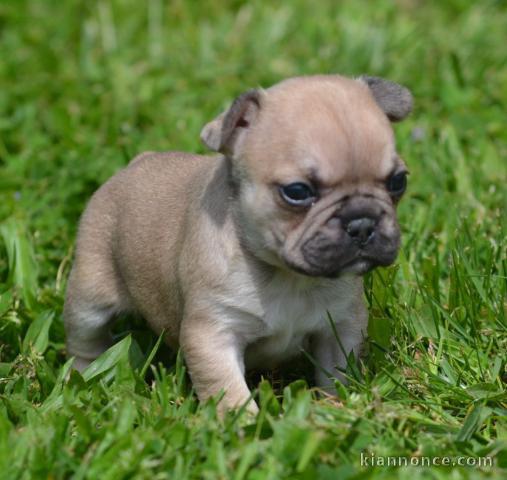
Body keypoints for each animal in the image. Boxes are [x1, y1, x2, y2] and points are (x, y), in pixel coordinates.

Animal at [63, 73, 412, 414]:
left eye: (398, 182)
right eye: (297, 191)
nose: (362, 222)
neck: (286, 277)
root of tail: (136, 162)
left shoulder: (340, 326)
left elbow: (336, 375)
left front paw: (336, 409)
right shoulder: (214, 334)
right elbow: (229, 393)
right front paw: (246, 425)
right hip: (90, 293)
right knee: (85, 338)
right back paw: (86, 377)